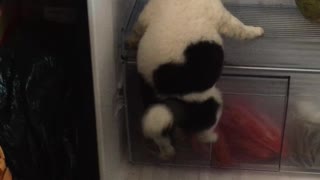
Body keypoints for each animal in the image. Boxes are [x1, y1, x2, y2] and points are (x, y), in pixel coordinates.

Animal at [127, 0, 264, 159]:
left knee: (161, 136)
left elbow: (136, 30)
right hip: (212, 102)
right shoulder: (222, 16)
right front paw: (256, 30)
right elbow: (240, 28)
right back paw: (212, 138)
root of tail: (168, 97)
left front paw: (131, 42)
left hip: (155, 112)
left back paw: (168, 152)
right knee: (201, 132)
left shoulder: (145, 16)